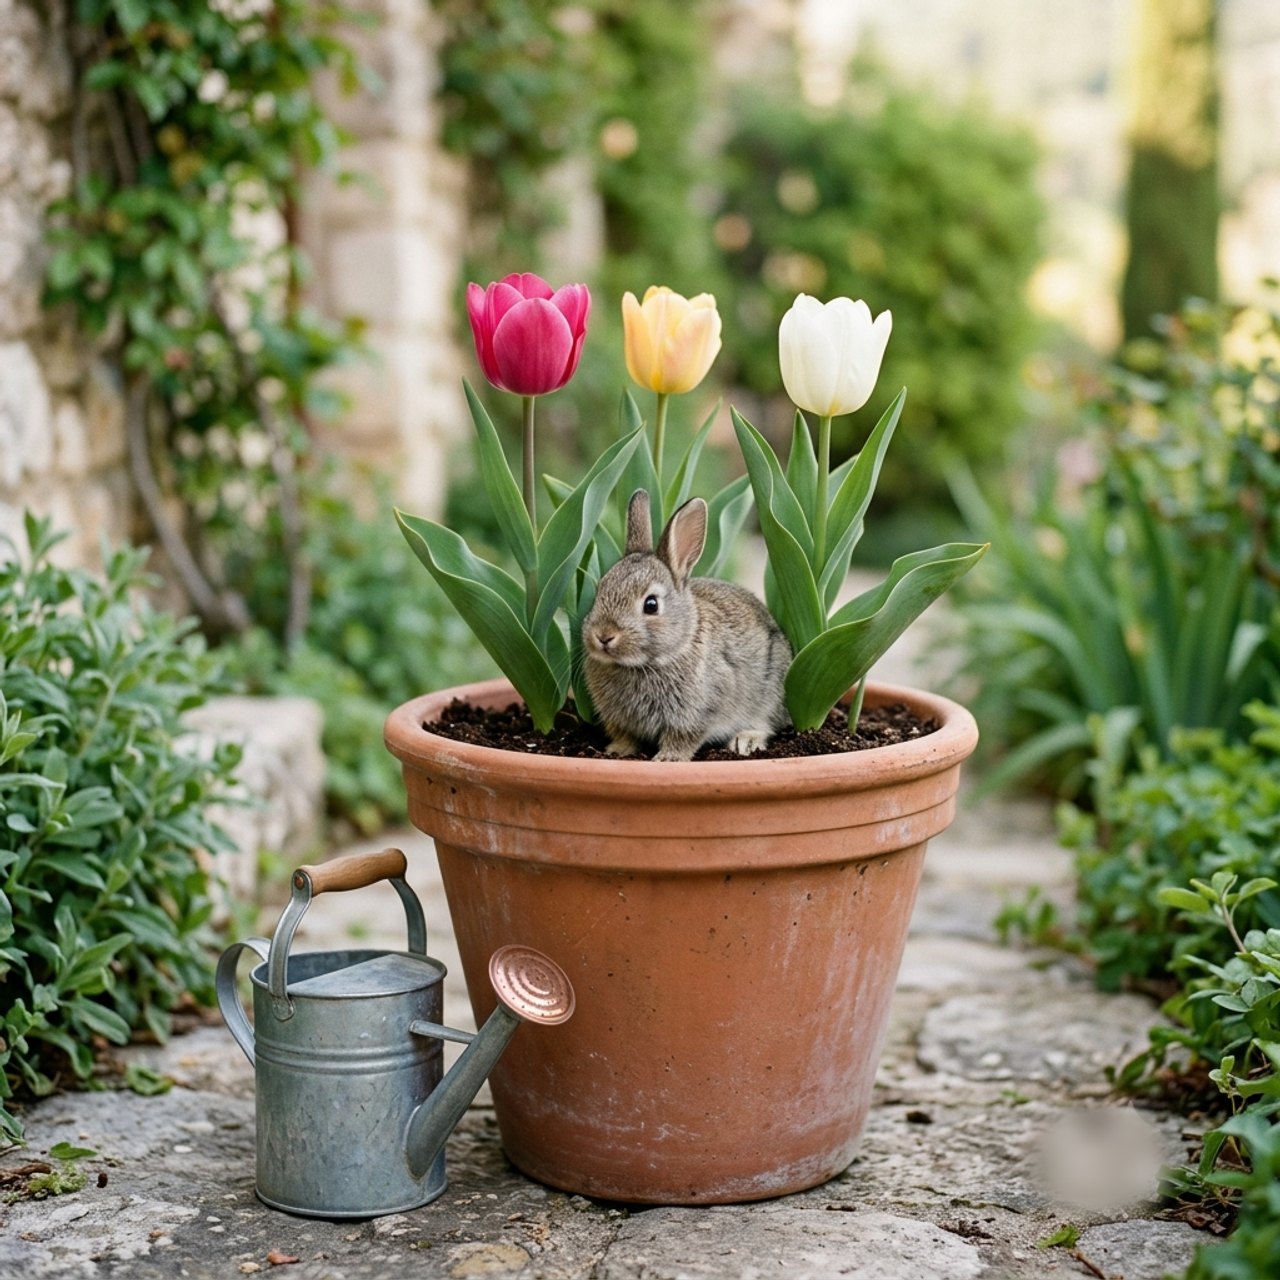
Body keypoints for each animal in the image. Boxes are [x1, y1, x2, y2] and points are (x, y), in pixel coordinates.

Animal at [582, 489, 792, 761]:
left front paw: (667, 759)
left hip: (770, 693)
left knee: (766, 723)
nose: (603, 636)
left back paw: (744, 741)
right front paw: (616, 751)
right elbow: (625, 736)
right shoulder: (619, 720)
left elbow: (682, 737)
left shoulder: (697, 712)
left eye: (651, 605)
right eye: (600, 591)